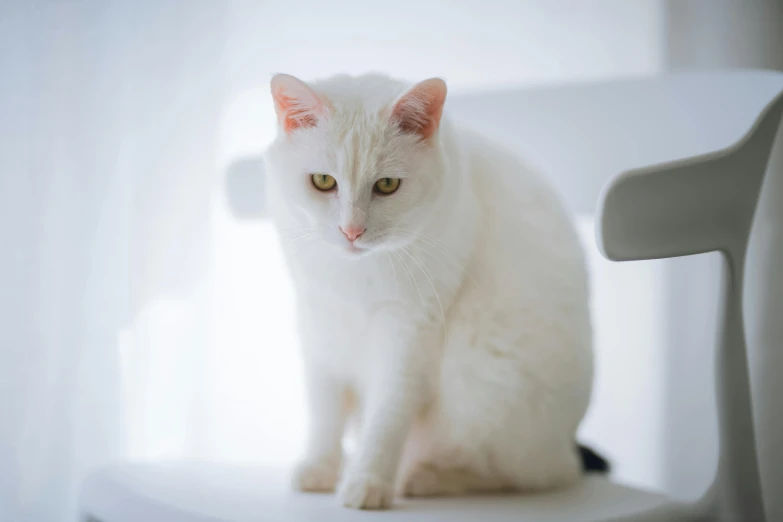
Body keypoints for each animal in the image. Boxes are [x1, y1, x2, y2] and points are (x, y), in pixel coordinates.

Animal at [264, 73, 596, 508]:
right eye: (323, 181)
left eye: (387, 185)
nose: (351, 230)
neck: (355, 275)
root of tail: (567, 447)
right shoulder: (319, 322)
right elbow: (325, 409)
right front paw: (320, 466)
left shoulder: (409, 335)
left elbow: (387, 416)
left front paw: (368, 481)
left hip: (481, 386)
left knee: (517, 474)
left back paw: (425, 477)